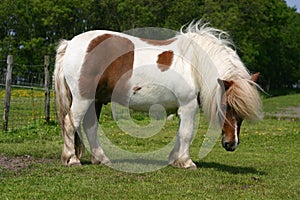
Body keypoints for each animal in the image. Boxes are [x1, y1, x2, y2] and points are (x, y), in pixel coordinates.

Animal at [55, 21, 262, 169]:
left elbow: (180, 133)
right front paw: (186, 162)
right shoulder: (188, 106)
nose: (231, 144)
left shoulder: (182, 108)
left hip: (95, 100)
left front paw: (174, 159)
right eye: (227, 106)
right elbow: (187, 133)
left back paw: (101, 159)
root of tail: (70, 43)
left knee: (90, 127)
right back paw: (72, 159)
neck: (194, 64)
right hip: (83, 98)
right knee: (70, 123)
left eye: (242, 113)